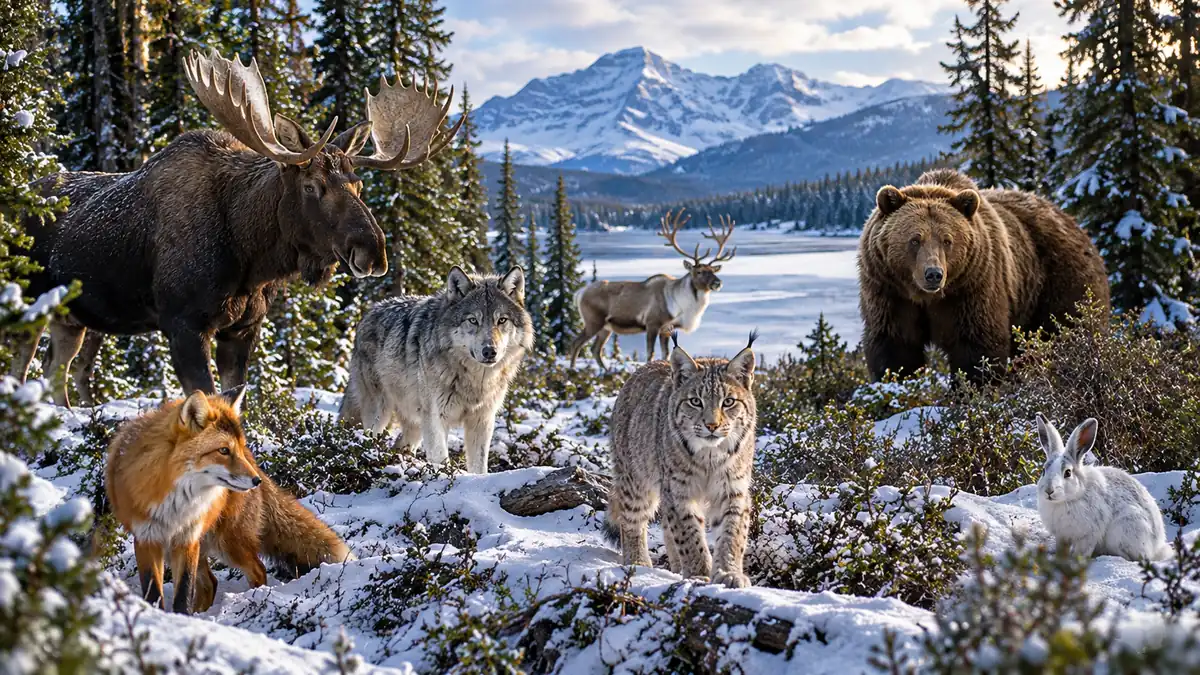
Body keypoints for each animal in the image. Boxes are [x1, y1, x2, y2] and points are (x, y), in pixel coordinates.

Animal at [9, 49, 463, 406]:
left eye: (358, 184)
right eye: (311, 185)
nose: (373, 250)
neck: (248, 259)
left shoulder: (243, 328)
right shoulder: (182, 323)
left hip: (73, 319)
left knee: (58, 372)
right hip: (27, 301)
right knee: (22, 370)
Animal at [105, 386, 353, 614]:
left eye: (238, 448)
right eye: (223, 450)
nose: (256, 481)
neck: (174, 500)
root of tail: (257, 464)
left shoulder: (187, 539)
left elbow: (184, 592)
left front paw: (182, 616)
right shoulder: (147, 540)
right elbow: (154, 592)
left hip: (227, 542)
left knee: (257, 570)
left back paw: (254, 600)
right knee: (210, 583)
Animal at [569, 209, 736, 369]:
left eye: (713, 270)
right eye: (699, 271)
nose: (718, 282)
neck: (681, 306)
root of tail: (579, 293)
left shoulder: (666, 329)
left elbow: (666, 354)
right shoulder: (652, 323)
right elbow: (651, 353)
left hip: (606, 327)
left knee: (595, 349)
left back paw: (605, 370)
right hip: (593, 321)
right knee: (576, 343)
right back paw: (573, 369)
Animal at [857, 168, 1110, 384]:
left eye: (947, 240)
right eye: (915, 239)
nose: (934, 274)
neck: (928, 297)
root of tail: (1074, 223)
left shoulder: (974, 286)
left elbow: (977, 346)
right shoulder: (889, 291)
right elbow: (895, 346)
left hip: (1059, 279)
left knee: (1068, 329)